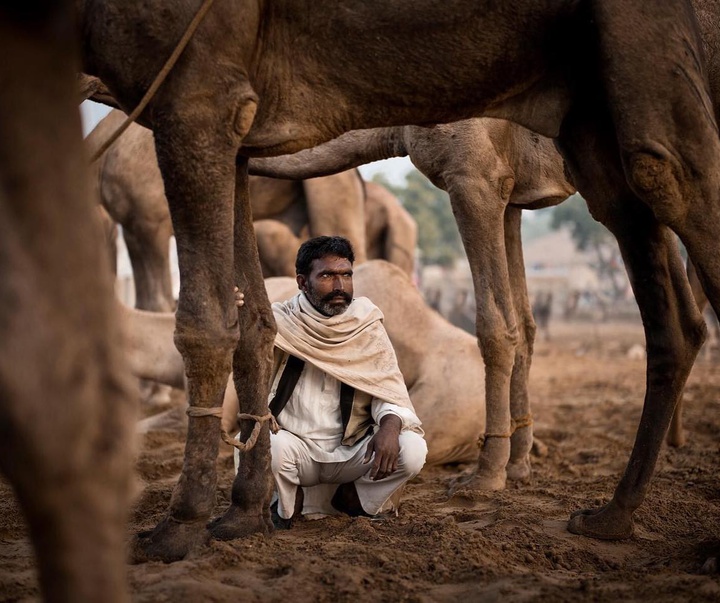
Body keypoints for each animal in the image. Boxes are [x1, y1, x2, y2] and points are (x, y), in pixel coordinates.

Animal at [79, 0, 720, 556]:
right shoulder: (512, 198)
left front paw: (485, 478)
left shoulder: (474, 175)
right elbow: (526, 321)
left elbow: (495, 325)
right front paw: (518, 464)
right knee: (683, 311)